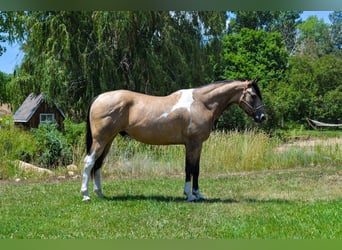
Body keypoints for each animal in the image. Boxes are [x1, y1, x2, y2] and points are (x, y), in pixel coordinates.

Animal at [81, 79, 268, 201]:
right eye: (253, 95)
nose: (262, 116)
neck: (201, 103)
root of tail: (99, 97)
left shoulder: (196, 145)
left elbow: (195, 169)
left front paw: (198, 194)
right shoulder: (193, 143)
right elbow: (190, 169)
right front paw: (190, 195)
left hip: (108, 140)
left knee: (98, 164)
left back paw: (100, 193)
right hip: (101, 140)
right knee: (89, 162)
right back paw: (85, 195)